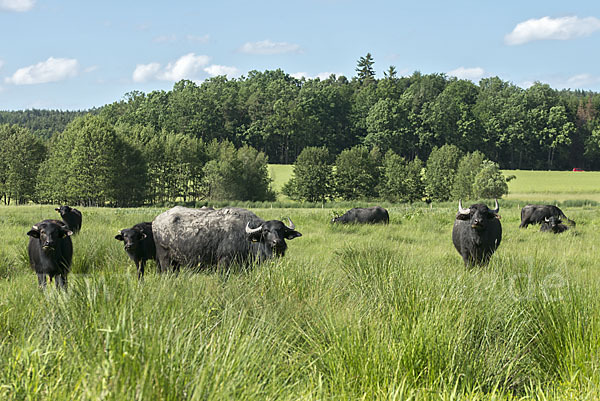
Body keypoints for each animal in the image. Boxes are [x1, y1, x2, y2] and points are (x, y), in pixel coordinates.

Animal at [150, 206, 300, 268]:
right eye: (265, 231)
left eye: (283, 231)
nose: (278, 243)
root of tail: (155, 221)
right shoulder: (224, 261)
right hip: (165, 259)